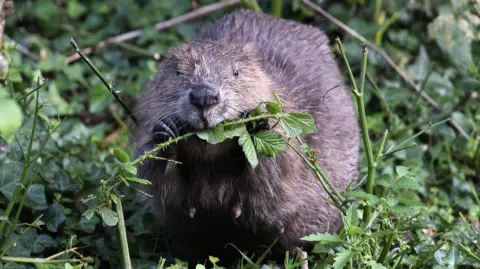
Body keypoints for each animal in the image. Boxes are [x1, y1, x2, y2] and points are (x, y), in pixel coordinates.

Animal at [133, 8, 358, 268]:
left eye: (236, 71)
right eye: (178, 72)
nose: (204, 97)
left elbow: (278, 175)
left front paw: (256, 123)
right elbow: (160, 186)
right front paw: (165, 133)